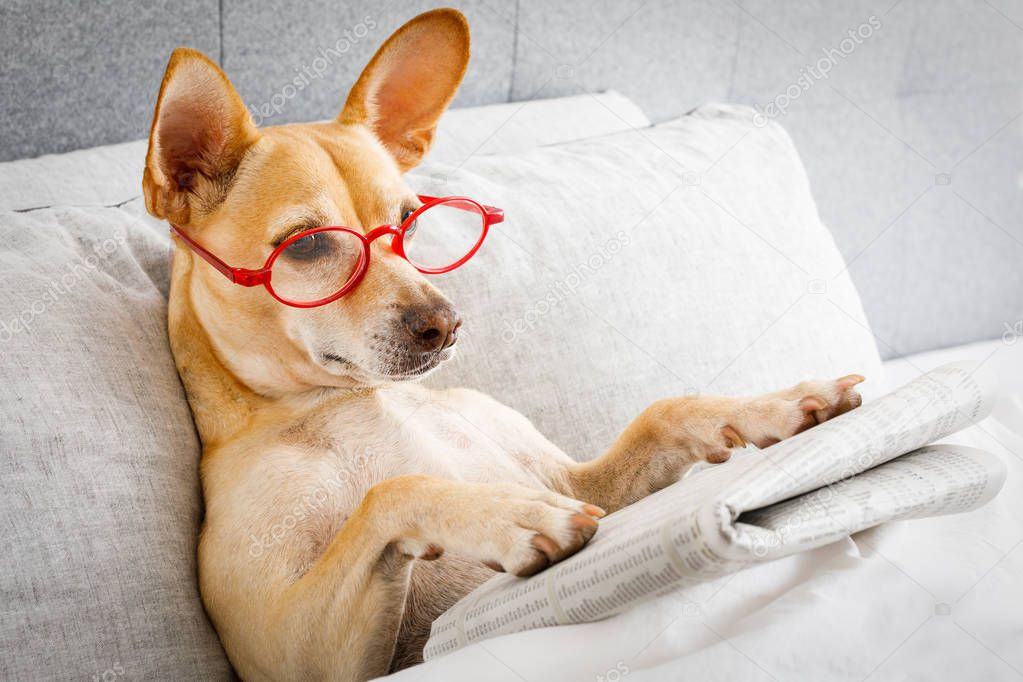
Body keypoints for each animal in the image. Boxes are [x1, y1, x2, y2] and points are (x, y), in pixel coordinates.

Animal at [142, 6, 863, 682]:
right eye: (308, 245)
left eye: (408, 220)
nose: (445, 323)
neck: (351, 403)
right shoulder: (294, 658)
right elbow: (395, 490)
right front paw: (509, 514)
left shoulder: (588, 482)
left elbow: (665, 412)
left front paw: (778, 406)